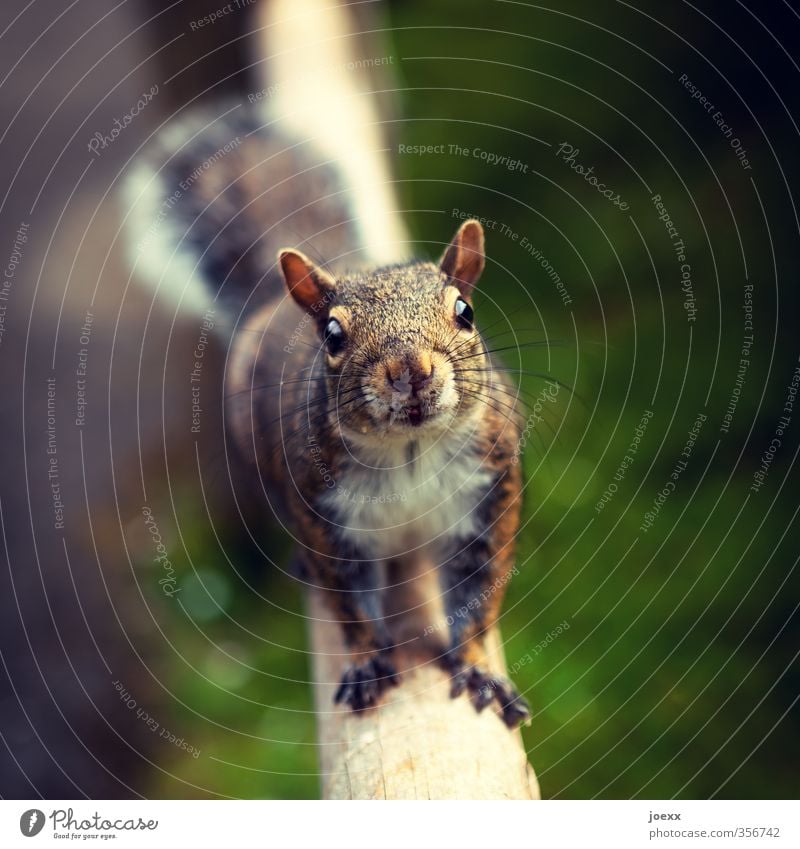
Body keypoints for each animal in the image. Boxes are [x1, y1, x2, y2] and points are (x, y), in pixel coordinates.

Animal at [125, 0, 532, 728]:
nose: (412, 372)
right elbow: (350, 606)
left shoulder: (491, 492)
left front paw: (480, 669)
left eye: (465, 311)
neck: (409, 451)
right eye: (335, 334)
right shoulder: (324, 515)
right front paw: (369, 663)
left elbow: (479, 596)